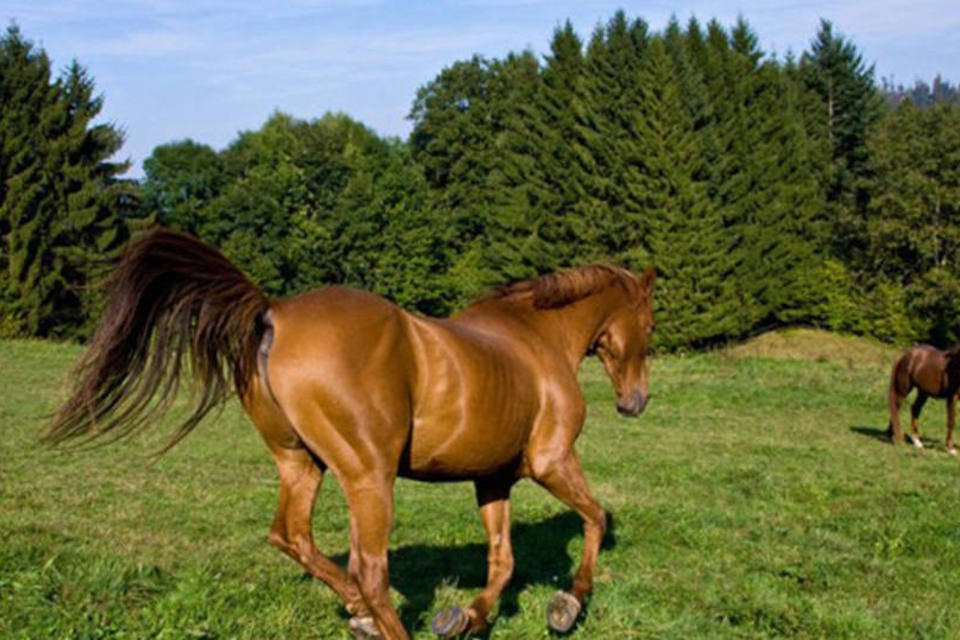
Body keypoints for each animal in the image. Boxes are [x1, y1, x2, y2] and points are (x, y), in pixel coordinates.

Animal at [48, 230, 656, 640]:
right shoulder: (551, 461)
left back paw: (357, 610)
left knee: (292, 537)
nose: (636, 402)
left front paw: (465, 617)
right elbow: (594, 518)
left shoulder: (492, 478)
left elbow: (502, 561)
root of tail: (274, 313)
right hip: (368, 476)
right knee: (369, 568)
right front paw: (568, 604)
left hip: (301, 463)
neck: (536, 338)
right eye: (650, 324)